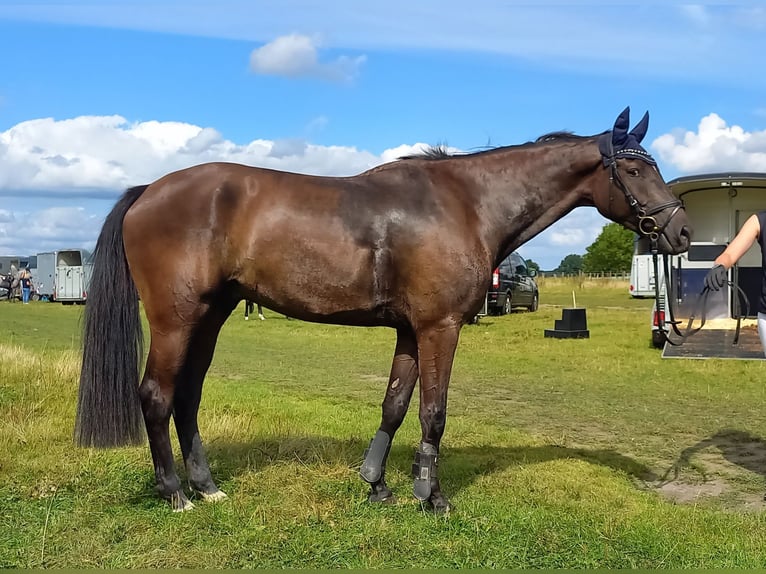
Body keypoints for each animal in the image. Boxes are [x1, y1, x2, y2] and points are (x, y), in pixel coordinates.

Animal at [76, 107, 696, 512]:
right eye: (636, 170)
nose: (681, 232)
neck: (466, 204)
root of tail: (149, 189)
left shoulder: (408, 330)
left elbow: (394, 406)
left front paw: (378, 484)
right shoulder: (440, 328)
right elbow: (433, 412)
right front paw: (433, 496)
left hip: (211, 316)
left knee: (187, 396)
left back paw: (206, 486)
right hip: (176, 319)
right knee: (156, 395)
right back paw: (175, 493)